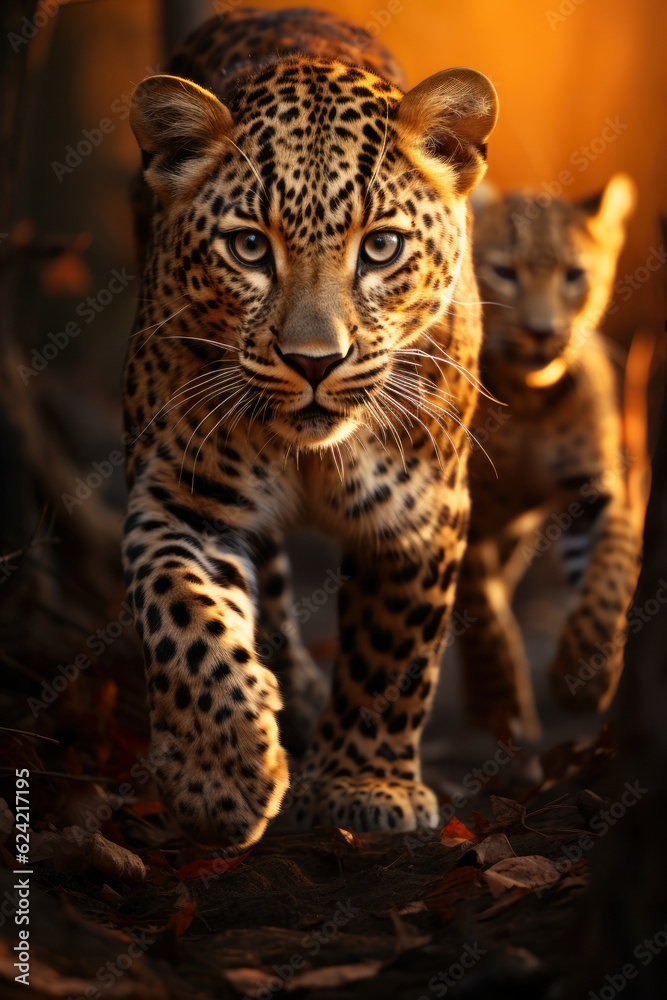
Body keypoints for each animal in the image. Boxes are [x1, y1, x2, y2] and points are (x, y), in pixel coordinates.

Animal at [122, 6, 498, 852]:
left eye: (381, 246)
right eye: (249, 247)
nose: (314, 362)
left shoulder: (419, 511)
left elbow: (392, 653)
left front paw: (365, 786)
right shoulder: (178, 494)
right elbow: (180, 611)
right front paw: (220, 774)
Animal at [455, 174, 642, 740]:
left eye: (574, 276)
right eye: (504, 273)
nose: (542, 331)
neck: (528, 405)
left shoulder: (593, 491)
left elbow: (608, 576)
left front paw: (583, 677)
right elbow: (479, 609)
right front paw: (498, 700)